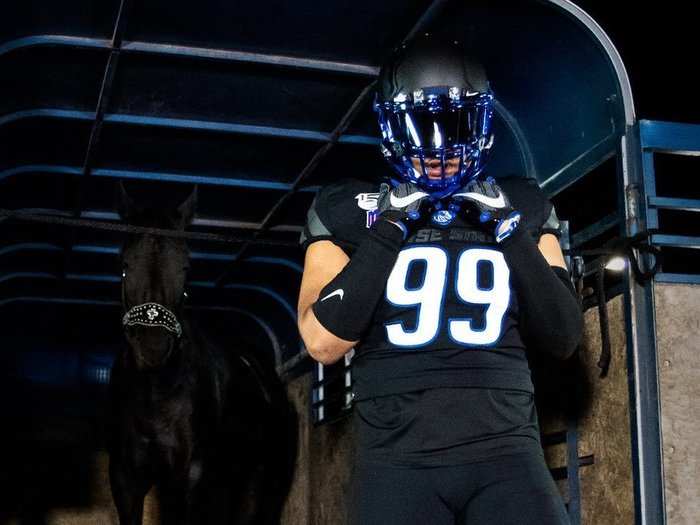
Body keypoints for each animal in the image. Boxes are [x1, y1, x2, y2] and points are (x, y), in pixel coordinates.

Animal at [108, 182, 296, 520]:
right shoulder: (125, 480)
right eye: (125, 264)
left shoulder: (190, 478)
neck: (156, 394)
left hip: (264, 481)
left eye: (185, 266)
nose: (153, 347)